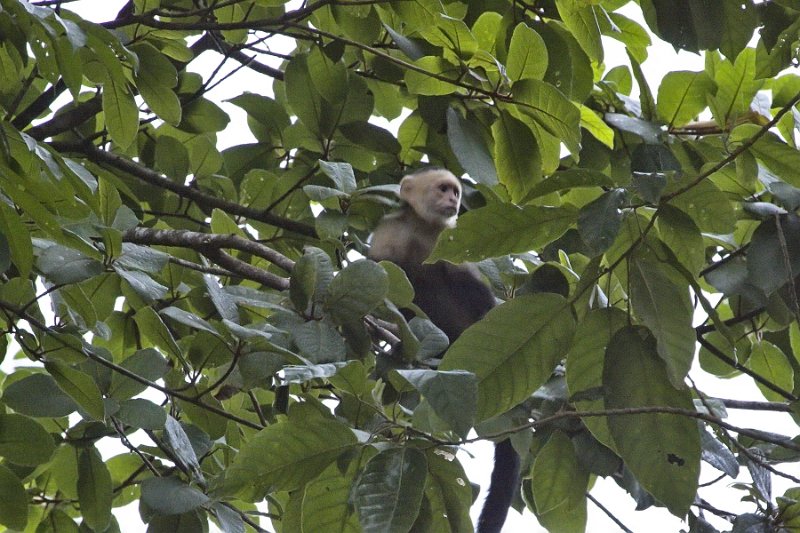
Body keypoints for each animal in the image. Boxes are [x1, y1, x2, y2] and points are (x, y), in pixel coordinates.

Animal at [368, 167, 520, 532]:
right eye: (442, 189)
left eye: (455, 191)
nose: (454, 200)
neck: (425, 229)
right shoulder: (391, 231)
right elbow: (384, 272)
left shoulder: (453, 239)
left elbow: (471, 287)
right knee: (418, 281)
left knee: (447, 279)